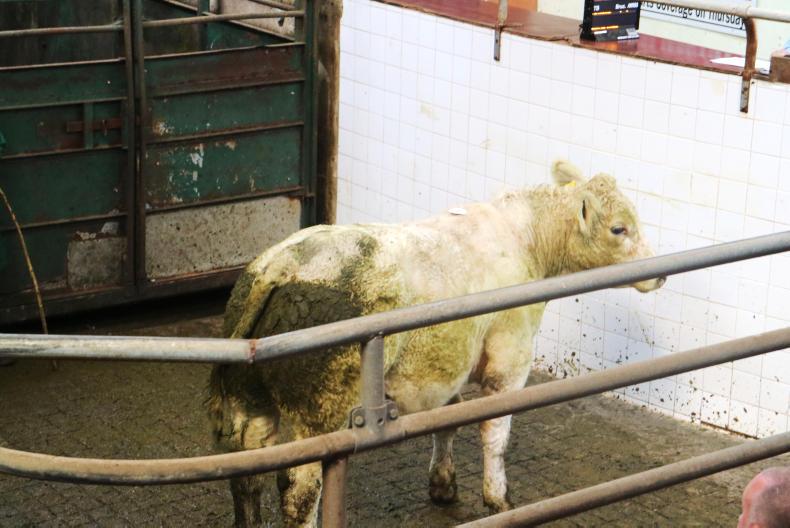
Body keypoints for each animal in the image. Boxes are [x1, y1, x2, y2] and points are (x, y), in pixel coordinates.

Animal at [206, 160, 665, 527]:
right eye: (619, 228)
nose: (660, 274)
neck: (526, 239)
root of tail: (285, 262)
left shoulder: (443, 366)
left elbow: (447, 419)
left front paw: (443, 485)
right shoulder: (510, 354)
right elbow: (495, 430)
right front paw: (499, 498)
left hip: (251, 402)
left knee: (246, 471)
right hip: (319, 409)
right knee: (300, 486)